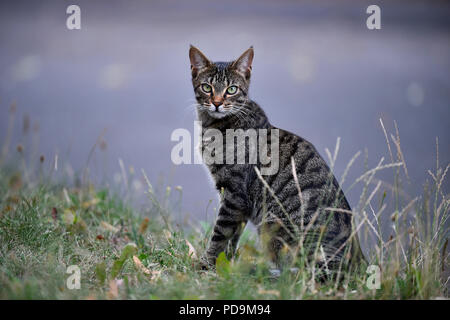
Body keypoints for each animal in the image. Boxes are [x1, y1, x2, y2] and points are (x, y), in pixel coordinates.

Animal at [188, 45, 368, 278]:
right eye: (207, 87)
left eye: (232, 89)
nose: (217, 103)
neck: (214, 126)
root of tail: (358, 263)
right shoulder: (236, 203)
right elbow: (231, 240)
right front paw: (224, 265)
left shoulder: (234, 194)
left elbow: (220, 235)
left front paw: (205, 265)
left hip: (275, 229)